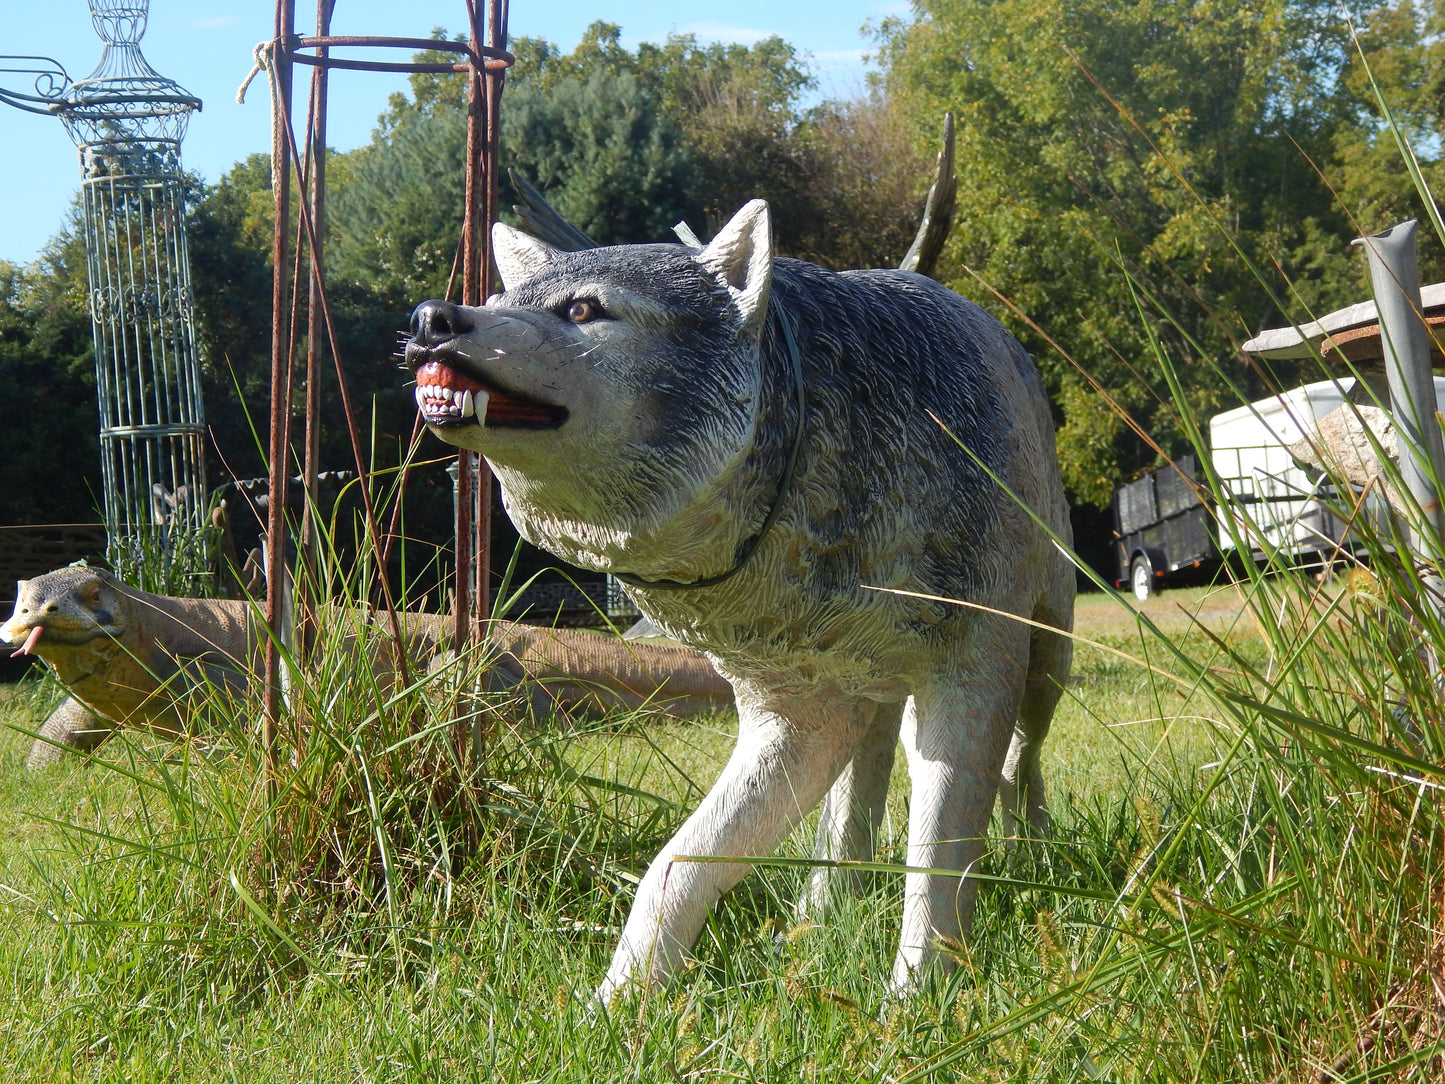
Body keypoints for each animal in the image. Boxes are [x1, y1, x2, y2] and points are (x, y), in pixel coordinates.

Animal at [407, 202, 1075, 1000]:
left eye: (583, 309)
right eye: (497, 300)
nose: (430, 317)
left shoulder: (970, 669)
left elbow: (938, 849)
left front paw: (916, 1001)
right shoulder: (795, 716)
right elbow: (672, 867)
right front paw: (618, 1002)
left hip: (1043, 661)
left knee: (1019, 763)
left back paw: (1035, 856)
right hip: (872, 697)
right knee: (859, 795)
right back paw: (820, 911)